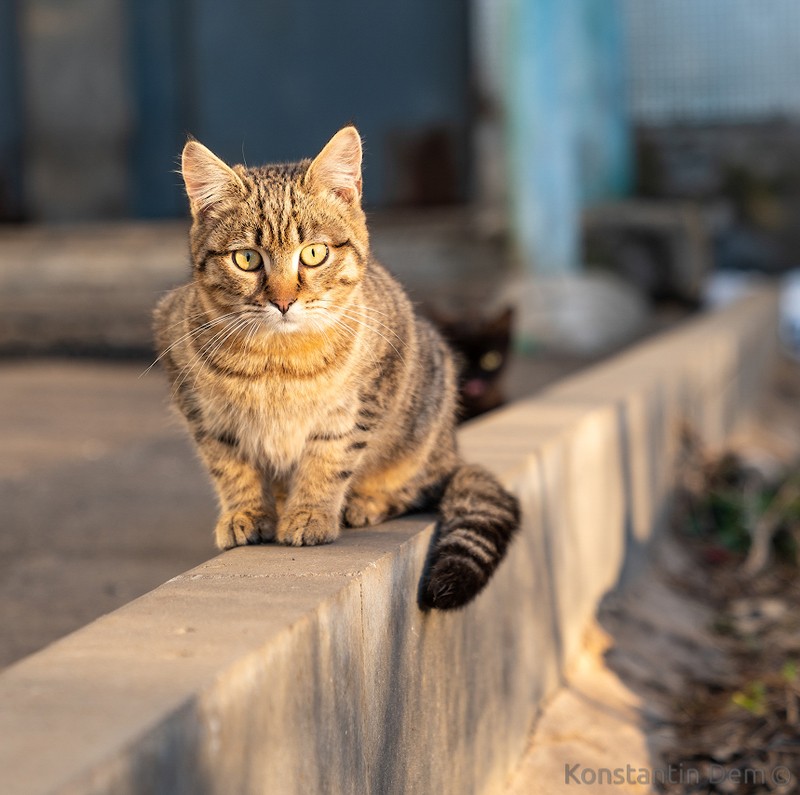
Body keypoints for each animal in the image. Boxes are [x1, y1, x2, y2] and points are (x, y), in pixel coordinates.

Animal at [154, 127, 520, 608]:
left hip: (424, 420)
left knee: (418, 486)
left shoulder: (360, 401)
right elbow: (230, 464)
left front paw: (310, 512)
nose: (283, 301)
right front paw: (246, 512)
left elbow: (328, 460)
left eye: (313, 253)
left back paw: (366, 502)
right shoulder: (199, 406)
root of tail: (452, 451)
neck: (279, 362)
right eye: (247, 259)